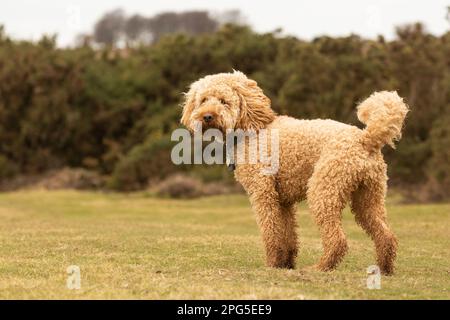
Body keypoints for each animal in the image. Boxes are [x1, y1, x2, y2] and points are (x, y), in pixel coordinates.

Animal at [179, 70, 408, 276]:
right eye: (203, 100)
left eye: (224, 101)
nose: (207, 116)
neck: (252, 128)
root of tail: (365, 139)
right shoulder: (283, 201)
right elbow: (288, 234)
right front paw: (285, 263)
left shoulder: (263, 193)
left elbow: (271, 232)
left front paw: (272, 264)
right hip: (369, 197)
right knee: (385, 235)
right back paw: (384, 269)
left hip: (323, 192)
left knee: (338, 240)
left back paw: (320, 267)